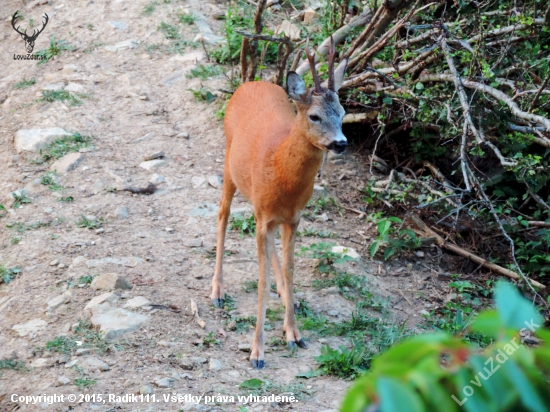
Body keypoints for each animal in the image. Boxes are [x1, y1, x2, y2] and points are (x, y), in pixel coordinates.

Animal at [212, 37, 350, 366]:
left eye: (343, 113)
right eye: (314, 116)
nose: (340, 143)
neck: (280, 170)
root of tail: (253, 82)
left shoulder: (293, 217)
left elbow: (290, 268)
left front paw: (294, 334)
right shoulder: (265, 215)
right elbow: (260, 281)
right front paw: (257, 352)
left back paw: (288, 297)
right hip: (228, 163)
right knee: (222, 214)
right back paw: (217, 291)